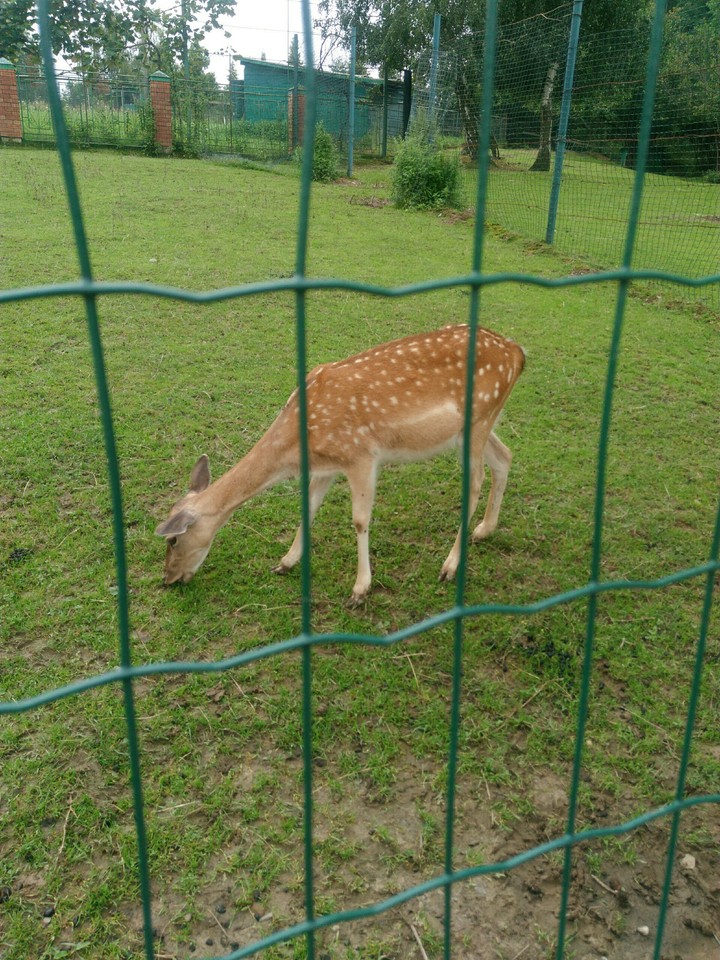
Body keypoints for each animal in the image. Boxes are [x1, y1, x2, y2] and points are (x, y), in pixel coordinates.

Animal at [155, 323, 525, 604]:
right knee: (505, 457)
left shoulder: (360, 455)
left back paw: (450, 565)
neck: (298, 445)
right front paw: (285, 563)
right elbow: (307, 509)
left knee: (475, 482)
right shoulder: (326, 468)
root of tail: (517, 353)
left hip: (479, 417)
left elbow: (360, 521)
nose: (168, 578)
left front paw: (360, 589)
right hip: (477, 425)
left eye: (173, 540)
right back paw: (484, 530)